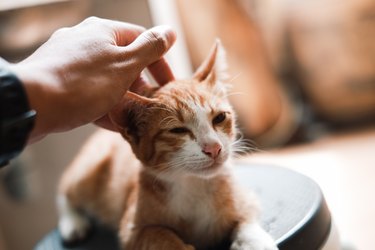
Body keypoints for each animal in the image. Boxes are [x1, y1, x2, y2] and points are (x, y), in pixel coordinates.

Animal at [56, 41, 280, 250]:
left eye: (219, 118)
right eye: (178, 130)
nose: (214, 148)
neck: (194, 184)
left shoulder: (245, 199)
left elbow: (245, 219)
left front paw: (255, 241)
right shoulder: (132, 231)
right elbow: (159, 234)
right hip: (88, 170)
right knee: (65, 189)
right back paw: (72, 222)